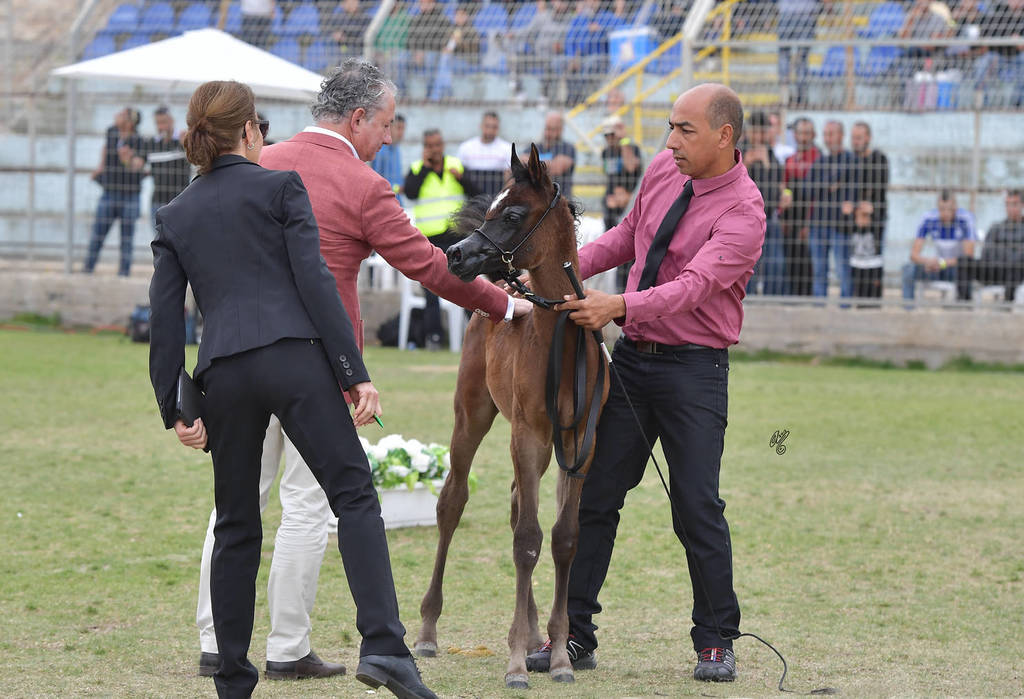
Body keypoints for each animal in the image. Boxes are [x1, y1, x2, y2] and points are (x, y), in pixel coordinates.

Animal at [412, 143, 609, 689]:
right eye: (494, 208)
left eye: (514, 214)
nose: (456, 255)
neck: (560, 337)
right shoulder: (529, 435)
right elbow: (527, 541)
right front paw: (518, 663)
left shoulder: (578, 444)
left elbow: (562, 538)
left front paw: (558, 656)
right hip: (473, 417)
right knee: (452, 502)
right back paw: (428, 631)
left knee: (520, 506)